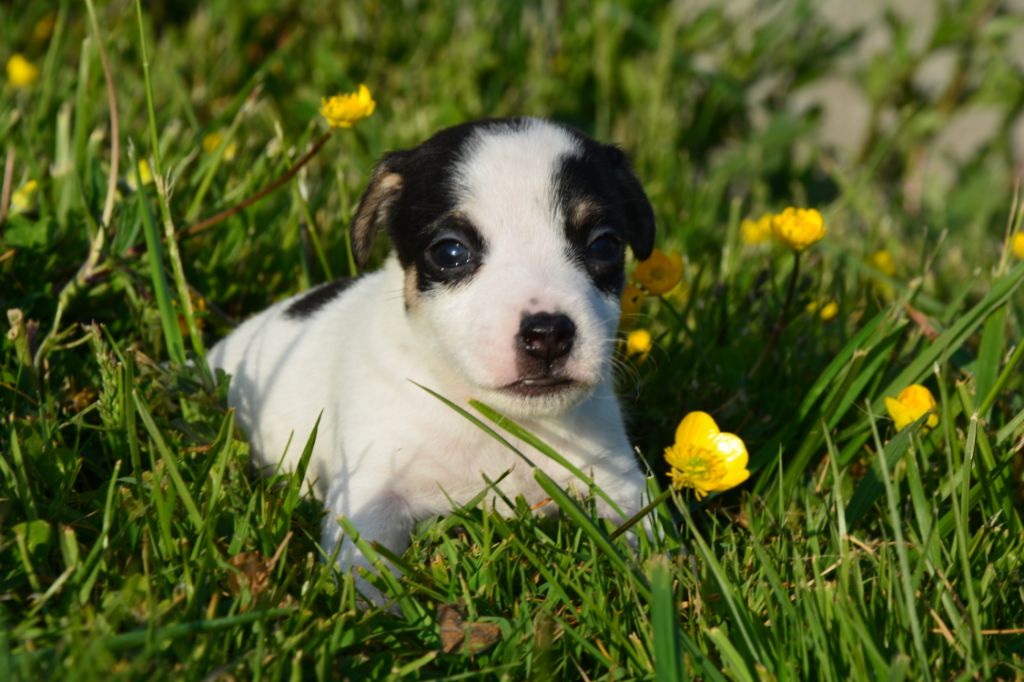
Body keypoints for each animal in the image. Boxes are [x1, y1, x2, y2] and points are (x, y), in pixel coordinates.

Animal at [208, 117, 655, 602]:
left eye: (604, 246)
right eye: (450, 252)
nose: (547, 335)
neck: (492, 418)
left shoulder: (617, 484)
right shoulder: (371, 492)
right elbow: (363, 566)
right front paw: (372, 611)